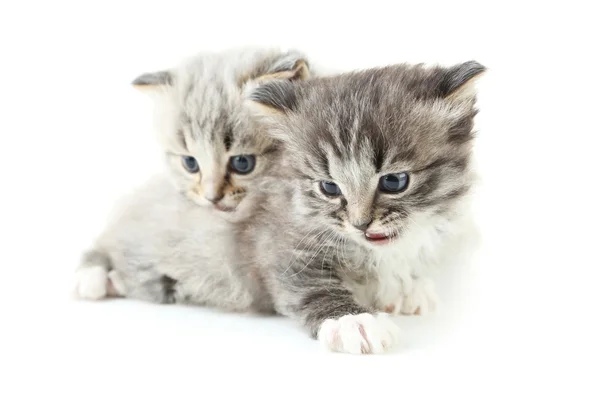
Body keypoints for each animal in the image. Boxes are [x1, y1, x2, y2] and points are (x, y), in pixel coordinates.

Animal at [241, 59, 486, 354]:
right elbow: (311, 285)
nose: (360, 224)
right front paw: (351, 319)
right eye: (329, 187)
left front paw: (406, 286)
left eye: (394, 181)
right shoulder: (275, 243)